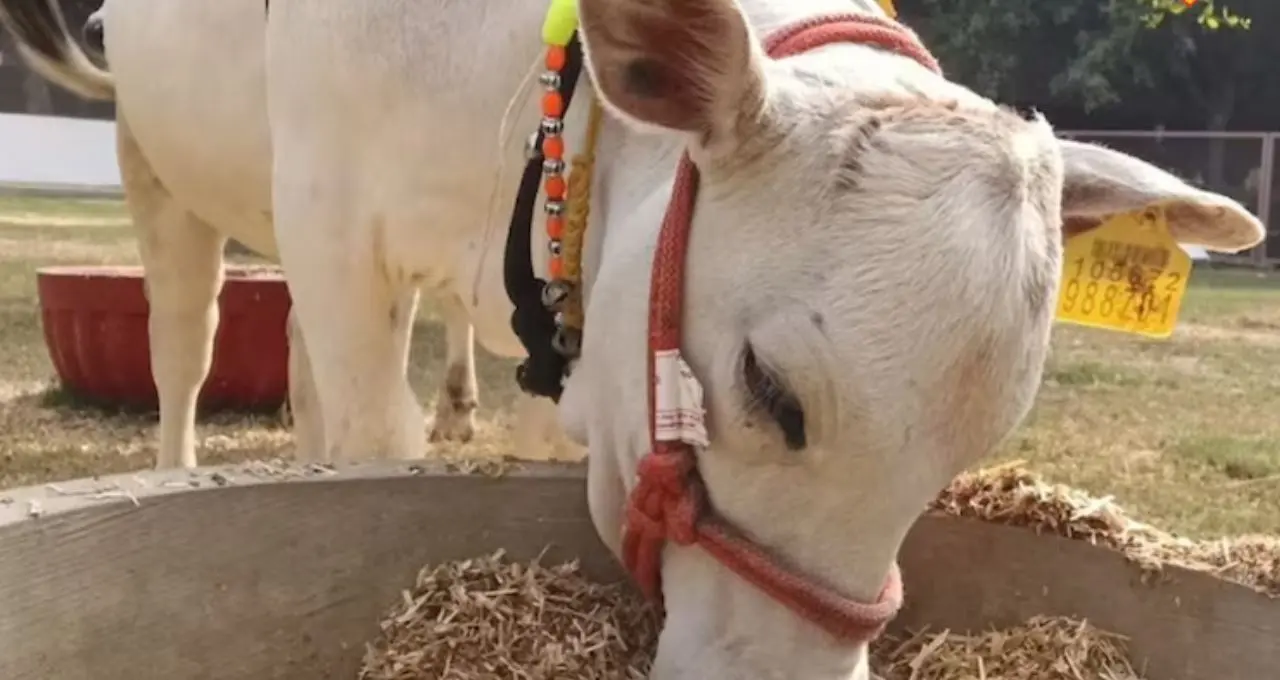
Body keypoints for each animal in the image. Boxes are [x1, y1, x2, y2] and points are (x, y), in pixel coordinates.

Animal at [0, 0, 1263, 677]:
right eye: (768, 388)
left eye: (970, 449)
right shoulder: (333, 224)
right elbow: (368, 437)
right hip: (157, 168)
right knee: (186, 344)